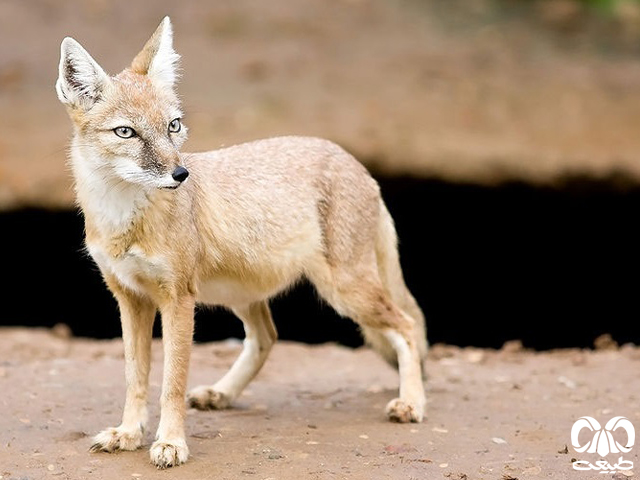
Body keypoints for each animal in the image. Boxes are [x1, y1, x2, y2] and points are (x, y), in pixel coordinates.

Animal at [53, 16, 424, 466]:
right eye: (126, 132)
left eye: (173, 126)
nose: (181, 174)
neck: (123, 219)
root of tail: (356, 162)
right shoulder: (130, 298)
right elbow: (135, 378)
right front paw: (128, 433)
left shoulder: (177, 299)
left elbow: (171, 382)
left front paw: (170, 442)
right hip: (243, 295)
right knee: (267, 337)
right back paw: (222, 393)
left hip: (346, 292)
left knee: (407, 326)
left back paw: (413, 402)